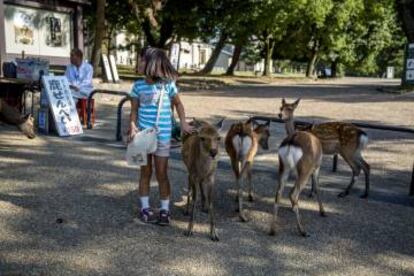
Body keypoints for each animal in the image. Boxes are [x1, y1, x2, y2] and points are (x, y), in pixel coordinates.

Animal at [268, 99, 326, 237]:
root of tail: (292, 141)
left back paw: (273, 229)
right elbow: (317, 187)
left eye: (289, 108)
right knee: (293, 193)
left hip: (283, 167)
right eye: (281, 107)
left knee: (278, 193)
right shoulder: (317, 167)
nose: (280, 114)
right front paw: (322, 211)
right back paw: (303, 231)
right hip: (305, 168)